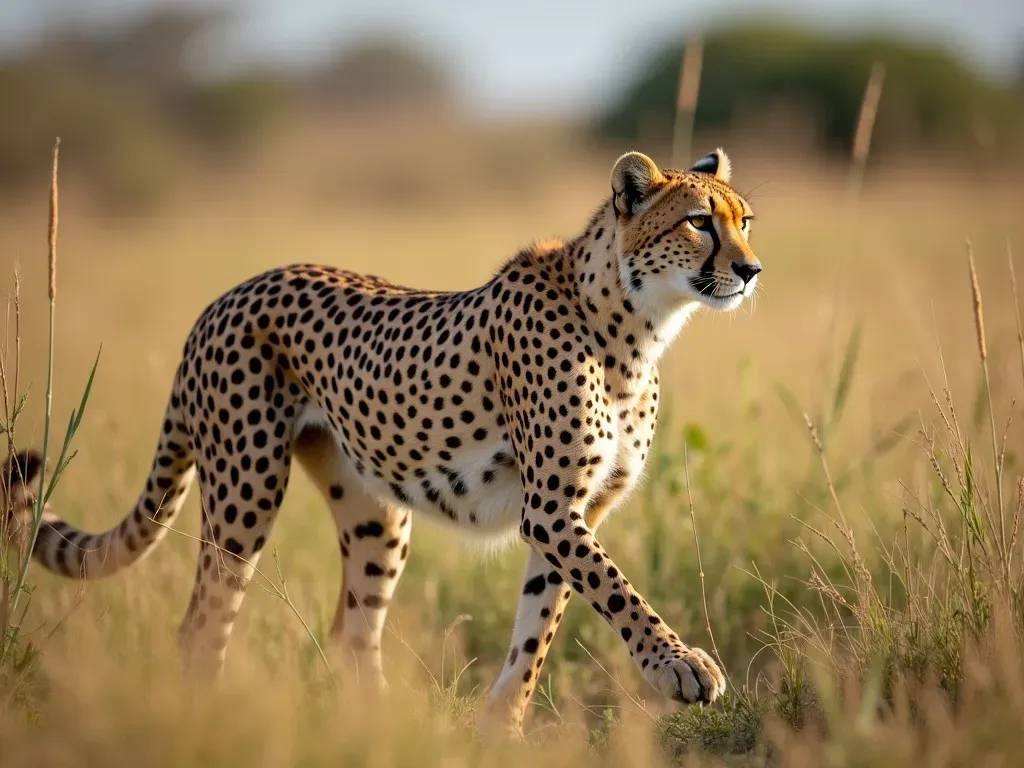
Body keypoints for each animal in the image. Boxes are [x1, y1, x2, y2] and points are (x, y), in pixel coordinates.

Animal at [2, 148, 761, 733]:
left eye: (745, 221)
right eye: (699, 222)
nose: (751, 270)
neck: (634, 327)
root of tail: (223, 298)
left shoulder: (579, 510)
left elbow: (540, 625)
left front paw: (502, 727)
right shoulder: (550, 510)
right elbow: (615, 589)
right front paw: (680, 666)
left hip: (375, 511)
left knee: (351, 633)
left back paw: (381, 727)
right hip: (247, 489)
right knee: (203, 624)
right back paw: (209, 722)